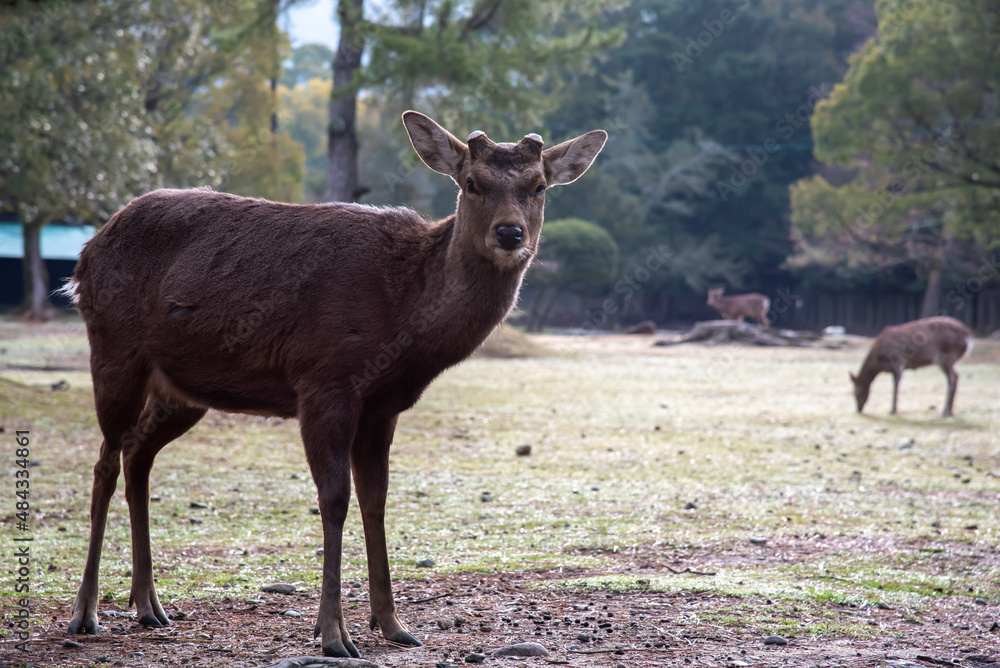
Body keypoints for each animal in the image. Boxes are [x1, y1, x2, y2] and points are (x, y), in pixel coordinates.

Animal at [63, 111, 607, 658]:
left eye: (539, 186)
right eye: (472, 183)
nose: (510, 233)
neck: (404, 317)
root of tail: (84, 257)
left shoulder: (383, 406)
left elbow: (376, 498)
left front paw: (392, 623)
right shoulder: (324, 381)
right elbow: (335, 498)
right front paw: (332, 634)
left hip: (182, 389)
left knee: (138, 455)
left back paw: (149, 606)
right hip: (114, 349)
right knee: (106, 462)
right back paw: (85, 613)